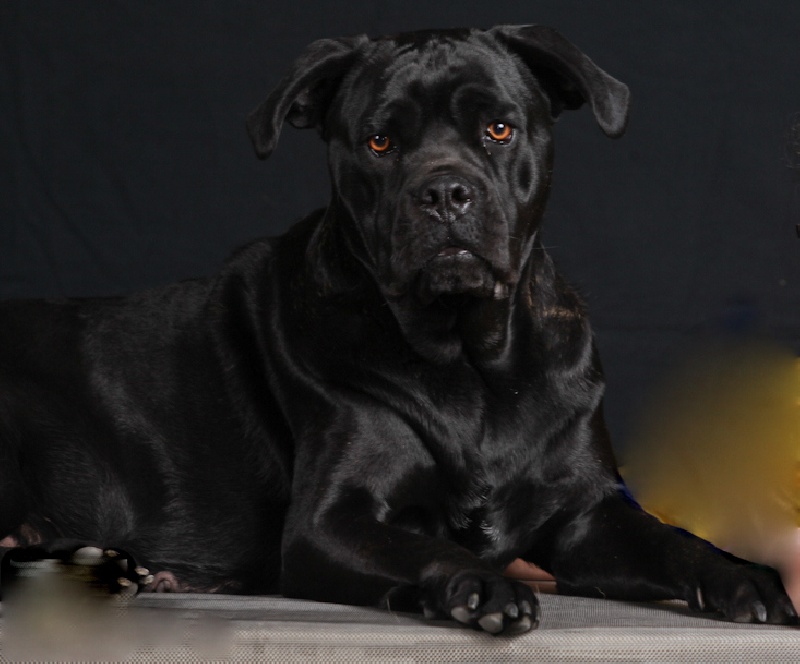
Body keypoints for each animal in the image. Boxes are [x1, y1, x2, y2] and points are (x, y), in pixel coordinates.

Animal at [0, 24, 795, 634]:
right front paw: (482, 586)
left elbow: (670, 539)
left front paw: (744, 577)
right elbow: (425, 548)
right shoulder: (331, 521)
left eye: (498, 127)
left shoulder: (586, 514)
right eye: (380, 142)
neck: (472, 361)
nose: (444, 192)